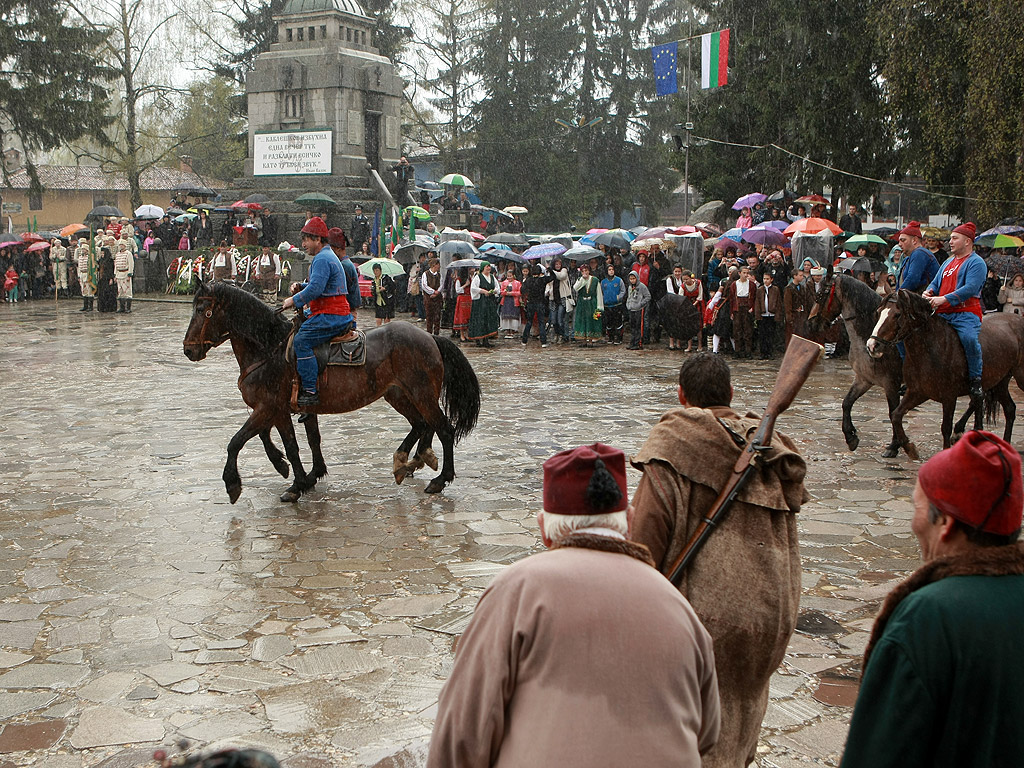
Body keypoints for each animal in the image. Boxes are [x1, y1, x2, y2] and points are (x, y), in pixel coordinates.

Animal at [183, 282, 479, 505]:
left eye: (202, 310)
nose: (188, 349)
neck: (269, 350)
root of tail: (431, 337)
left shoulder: (270, 407)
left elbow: (241, 441)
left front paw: (238, 483)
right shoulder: (277, 409)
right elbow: (290, 441)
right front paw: (297, 472)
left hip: (421, 394)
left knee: (443, 429)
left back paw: (438, 478)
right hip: (398, 395)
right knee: (421, 424)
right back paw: (407, 462)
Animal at [806, 274, 905, 454]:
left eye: (820, 295)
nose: (810, 323)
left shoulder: (891, 383)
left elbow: (893, 413)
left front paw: (894, 445)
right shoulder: (863, 379)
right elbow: (846, 403)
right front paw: (850, 436)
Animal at [864, 288, 1024, 456]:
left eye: (897, 314)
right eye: (879, 312)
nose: (872, 345)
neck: (930, 349)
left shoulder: (949, 397)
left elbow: (945, 427)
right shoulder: (917, 392)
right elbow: (896, 415)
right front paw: (908, 447)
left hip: (1017, 378)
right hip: (1000, 381)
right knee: (1009, 409)